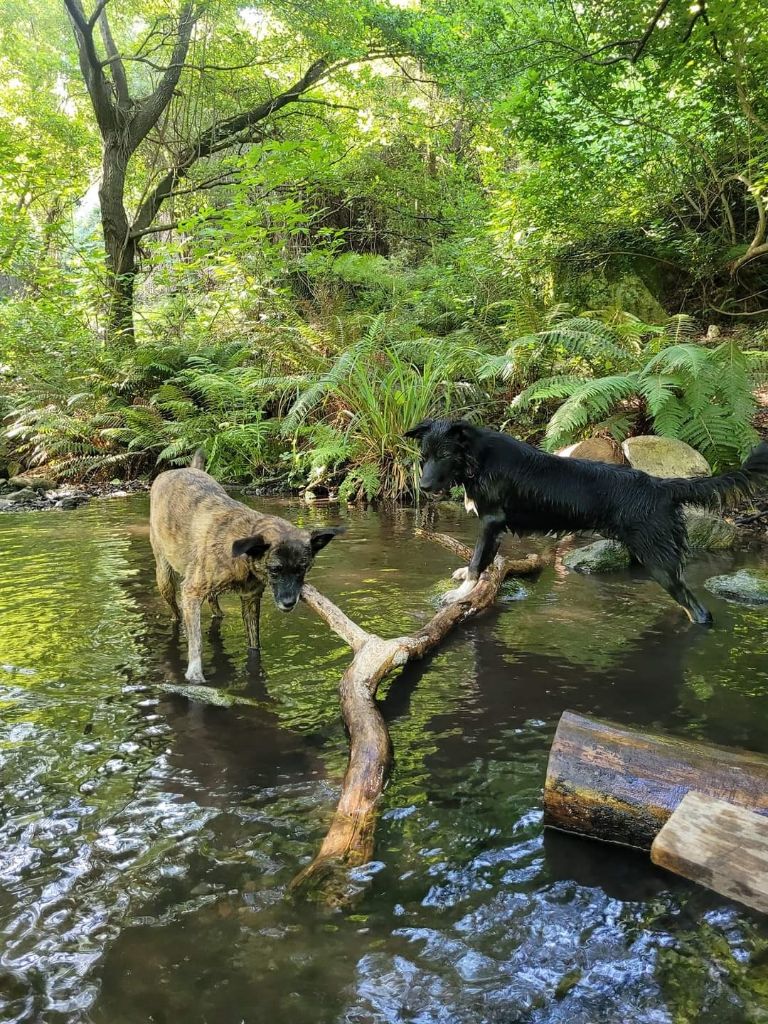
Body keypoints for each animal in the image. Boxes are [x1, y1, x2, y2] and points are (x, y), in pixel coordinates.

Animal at [150, 454, 342, 679]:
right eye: (275, 569)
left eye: (302, 568)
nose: (288, 603)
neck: (242, 554)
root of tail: (175, 470)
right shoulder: (191, 592)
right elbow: (196, 642)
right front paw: (195, 674)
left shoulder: (250, 599)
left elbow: (254, 644)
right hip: (164, 577)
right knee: (176, 612)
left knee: (213, 602)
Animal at [405, 417, 765, 622]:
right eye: (424, 457)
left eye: (445, 456)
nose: (423, 487)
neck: (478, 459)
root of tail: (662, 486)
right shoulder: (494, 526)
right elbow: (484, 559)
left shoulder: (492, 521)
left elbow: (478, 560)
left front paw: (461, 593)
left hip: (658, 560)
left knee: (700, 612)